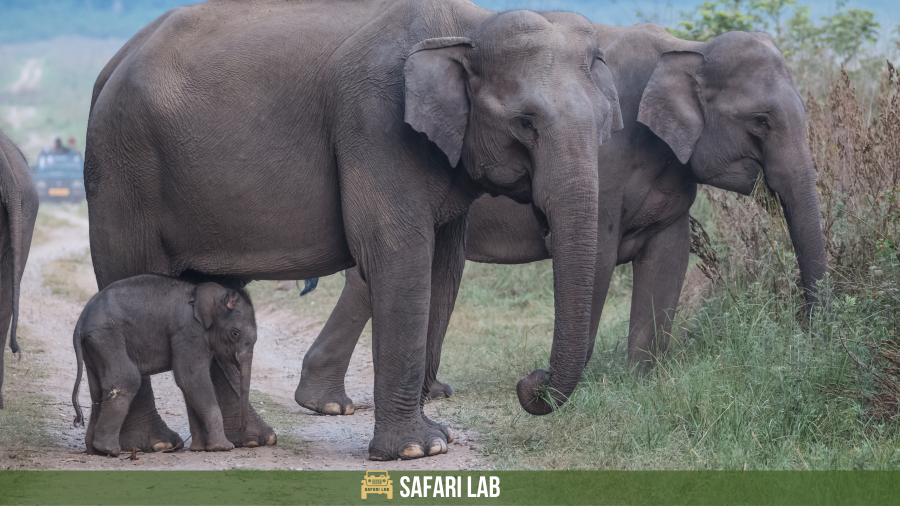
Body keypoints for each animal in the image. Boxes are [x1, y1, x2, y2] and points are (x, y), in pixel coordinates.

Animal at [72, 274, 256, 456]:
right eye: (235, 334)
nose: (242, 428)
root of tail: (81, 321)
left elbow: (190, 385)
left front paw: (199, 448)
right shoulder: (188, 331)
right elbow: (190, 379)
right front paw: (223, 447)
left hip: (94, 346)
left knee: (97, 389)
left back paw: (94, 451)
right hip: (107, 337)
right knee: (127, 379)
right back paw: (110, 450)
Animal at [298, 23, 828, 416]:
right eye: (761, 121)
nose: (809, 335)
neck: (688, 48)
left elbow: (668, 258)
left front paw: (639, 383)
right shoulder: (607, 160)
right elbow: (598, 254)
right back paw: (330, 404)